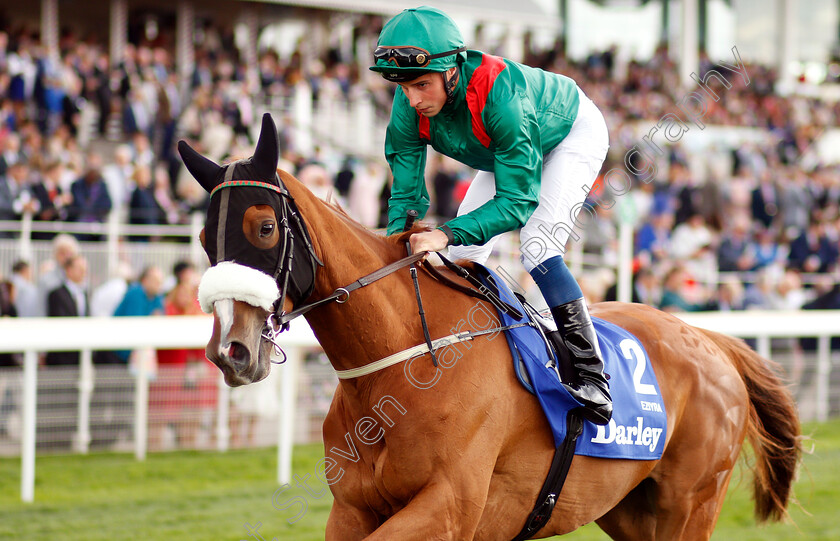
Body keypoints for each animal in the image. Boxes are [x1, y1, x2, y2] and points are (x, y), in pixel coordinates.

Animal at [177, 112, 800, 536]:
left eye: (264, 228)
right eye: (205, 238)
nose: (231, 350)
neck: (403, 367)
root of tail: (712, 341)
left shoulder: (450, 505)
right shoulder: (353, 508)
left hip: (689, 505)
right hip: (628, 509)